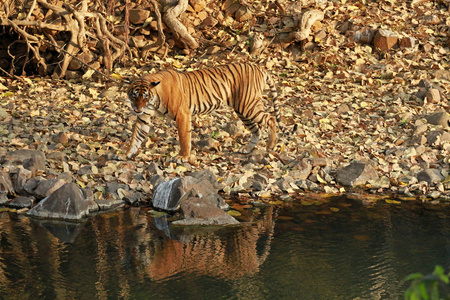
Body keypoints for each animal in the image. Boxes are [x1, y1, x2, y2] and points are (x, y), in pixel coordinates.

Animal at [126, 62, 280, 162]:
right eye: (134, 95)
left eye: (146, 97)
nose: (137, 109)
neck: (154, 101)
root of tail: (259, 67)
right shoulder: (144, 118)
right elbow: (136, 137)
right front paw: (126, 154)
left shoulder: (182, 114)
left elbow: (184, 138)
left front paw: (183, 157)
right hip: (242, 110)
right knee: (257, 129)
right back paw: (247, 148)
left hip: (248, 105)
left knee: (270, 118)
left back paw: (270, 145)